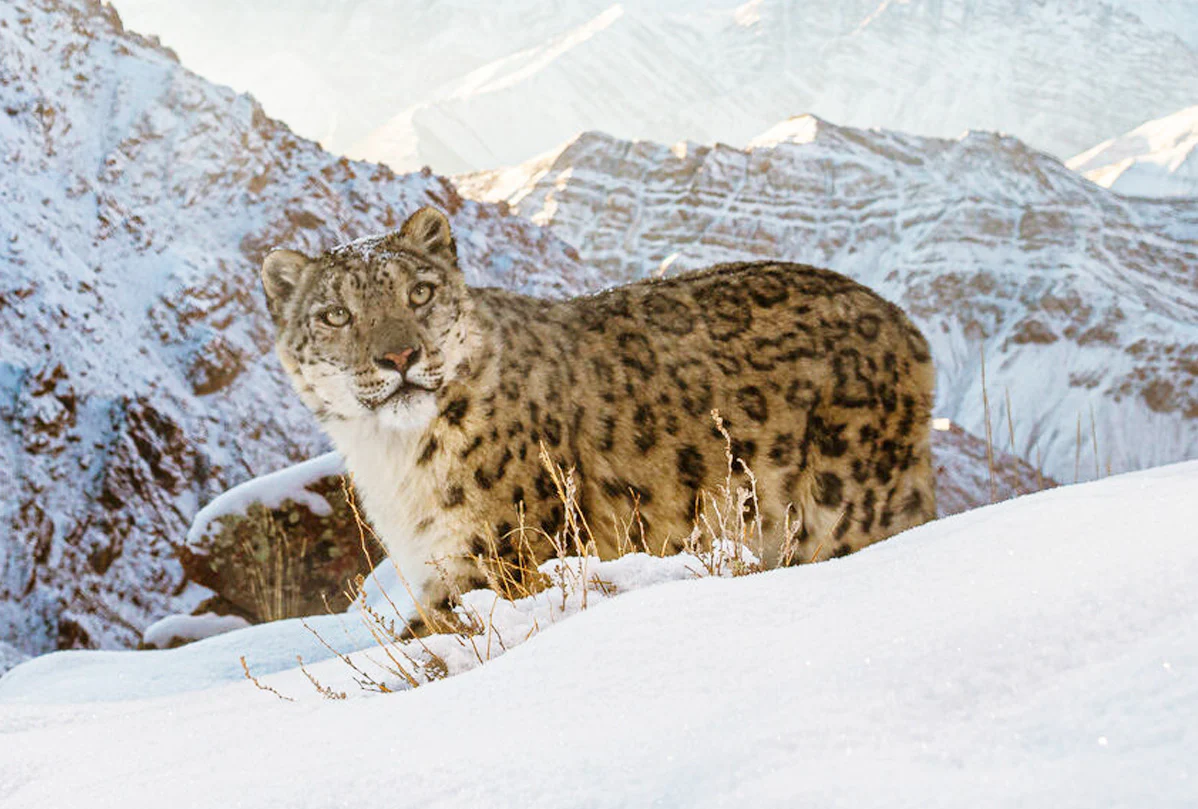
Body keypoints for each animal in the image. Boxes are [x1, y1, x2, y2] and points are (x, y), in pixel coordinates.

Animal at [260, 206, 936, 631]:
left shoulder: (496, 555)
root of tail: (902, 322)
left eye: (419, 293)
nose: (400, 356)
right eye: (336, 315)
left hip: (844, 509)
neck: (396, 459)